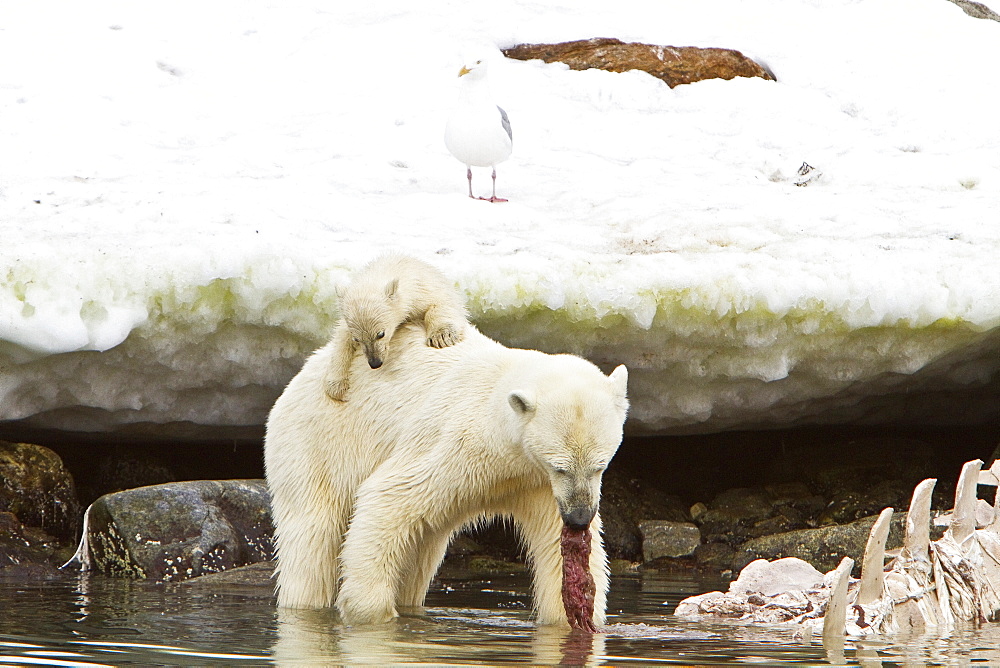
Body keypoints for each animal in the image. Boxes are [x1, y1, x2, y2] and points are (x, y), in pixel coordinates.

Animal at [264, 318, 624, 628]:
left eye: (600, 465)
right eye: (559, 466)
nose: (579, 517)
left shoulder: (535, 483)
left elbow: (555, 546)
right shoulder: (458, 442)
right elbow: (388, 497)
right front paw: (370, 611)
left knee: (419, 552)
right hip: (316, 441)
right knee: (311, 538)